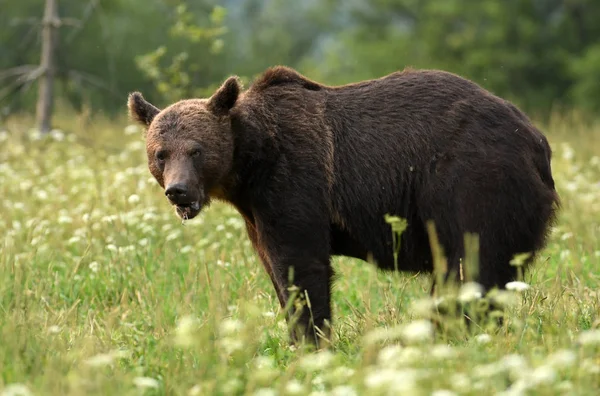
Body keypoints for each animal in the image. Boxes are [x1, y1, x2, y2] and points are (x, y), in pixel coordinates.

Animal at [126, 66, 556, 348]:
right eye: (160, 153)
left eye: (196, 150)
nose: (178, 191)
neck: (249, 165)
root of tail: (535, 138)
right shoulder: (256, 212)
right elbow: (275, 269)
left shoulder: (295, 180)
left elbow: (301, 266)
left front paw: (311, 342)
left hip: (469, 179)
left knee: (471, 262)